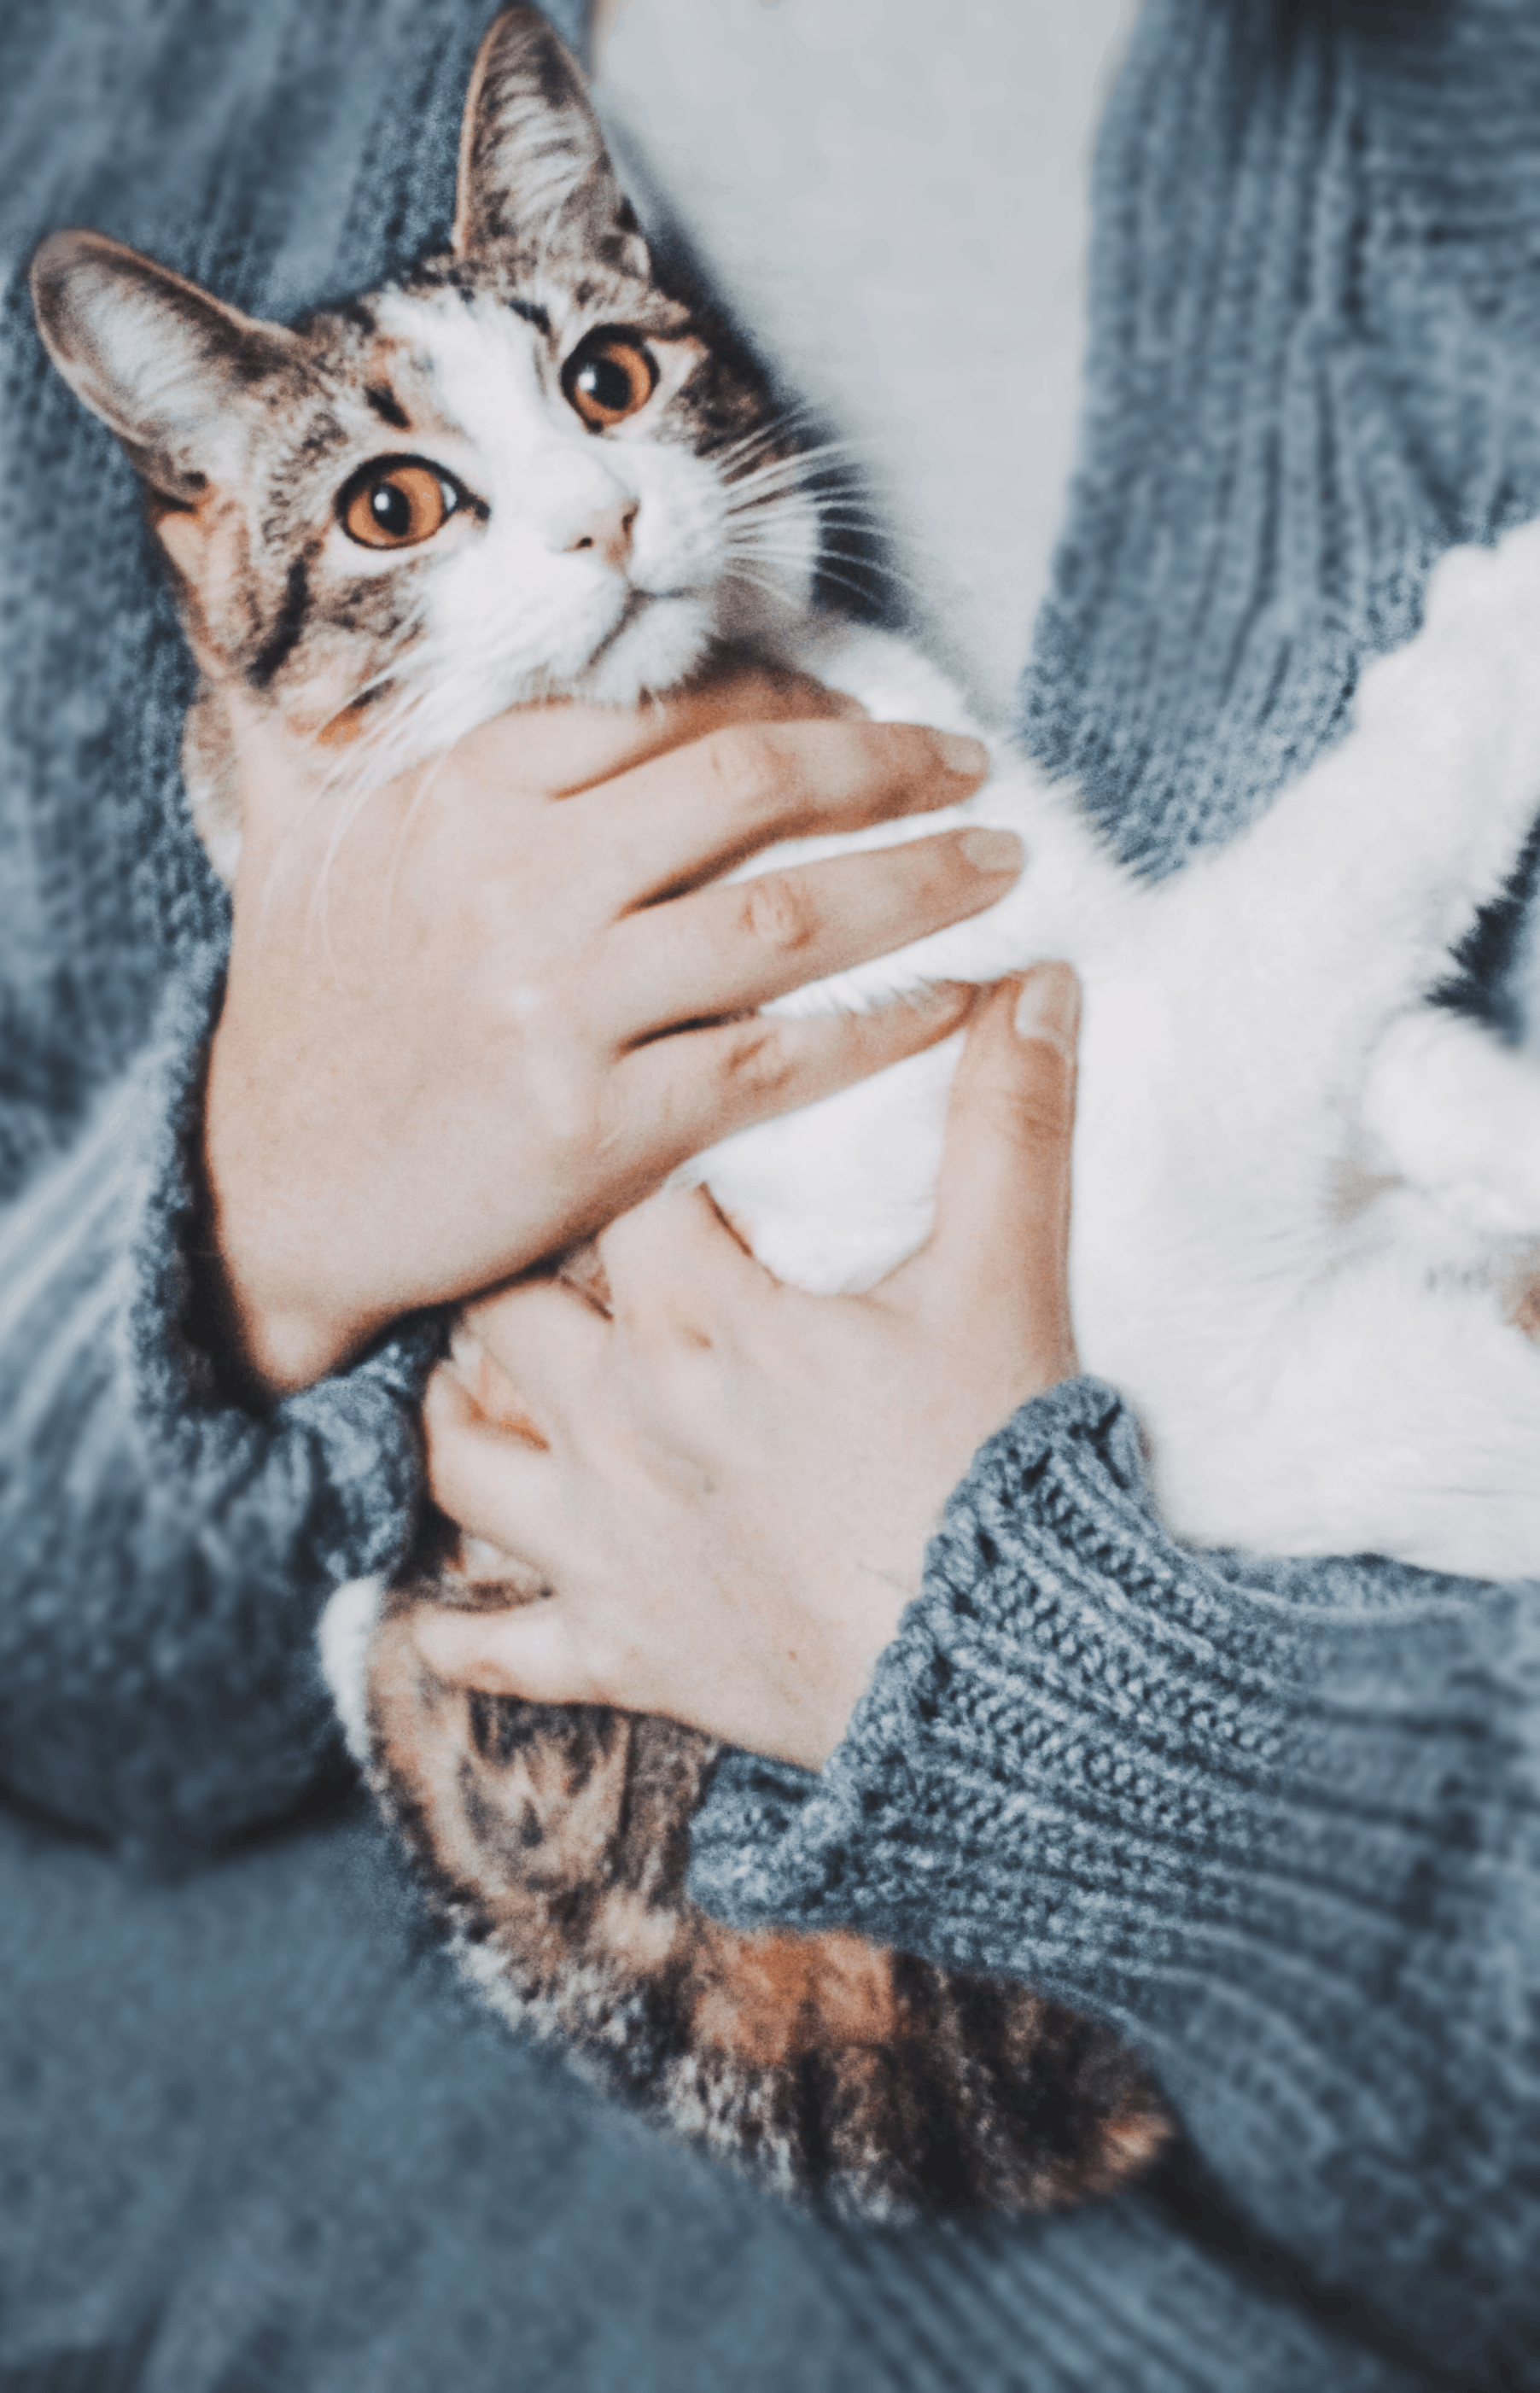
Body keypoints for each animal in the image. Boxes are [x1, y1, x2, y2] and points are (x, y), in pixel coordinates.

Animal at [26, 4, 1540, 2221]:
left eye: (609, 377)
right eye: (395, 503)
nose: (602, 517)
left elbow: (1361, 1045)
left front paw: (1485, 1116)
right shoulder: (1157, 1194)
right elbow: (1291, 919)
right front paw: (1484, 652)